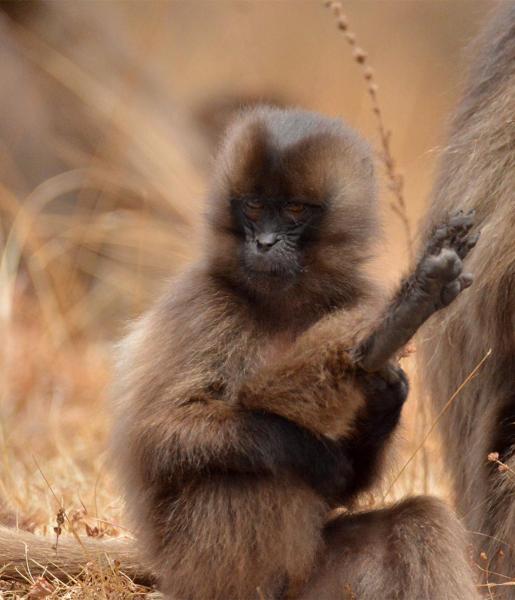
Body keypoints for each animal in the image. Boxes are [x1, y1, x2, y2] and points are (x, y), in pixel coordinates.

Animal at [111, 108, 482, 600]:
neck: (283, 301)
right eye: (252, 207)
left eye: (293, 210)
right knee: (241, 465)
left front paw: (387, 392)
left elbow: (352, 483)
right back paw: (380, 336)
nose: (264, 244)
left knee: (420, 519)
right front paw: (311, 450)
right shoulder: (202, 304)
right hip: (199, 571)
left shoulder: (353, 296)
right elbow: (158, 436)